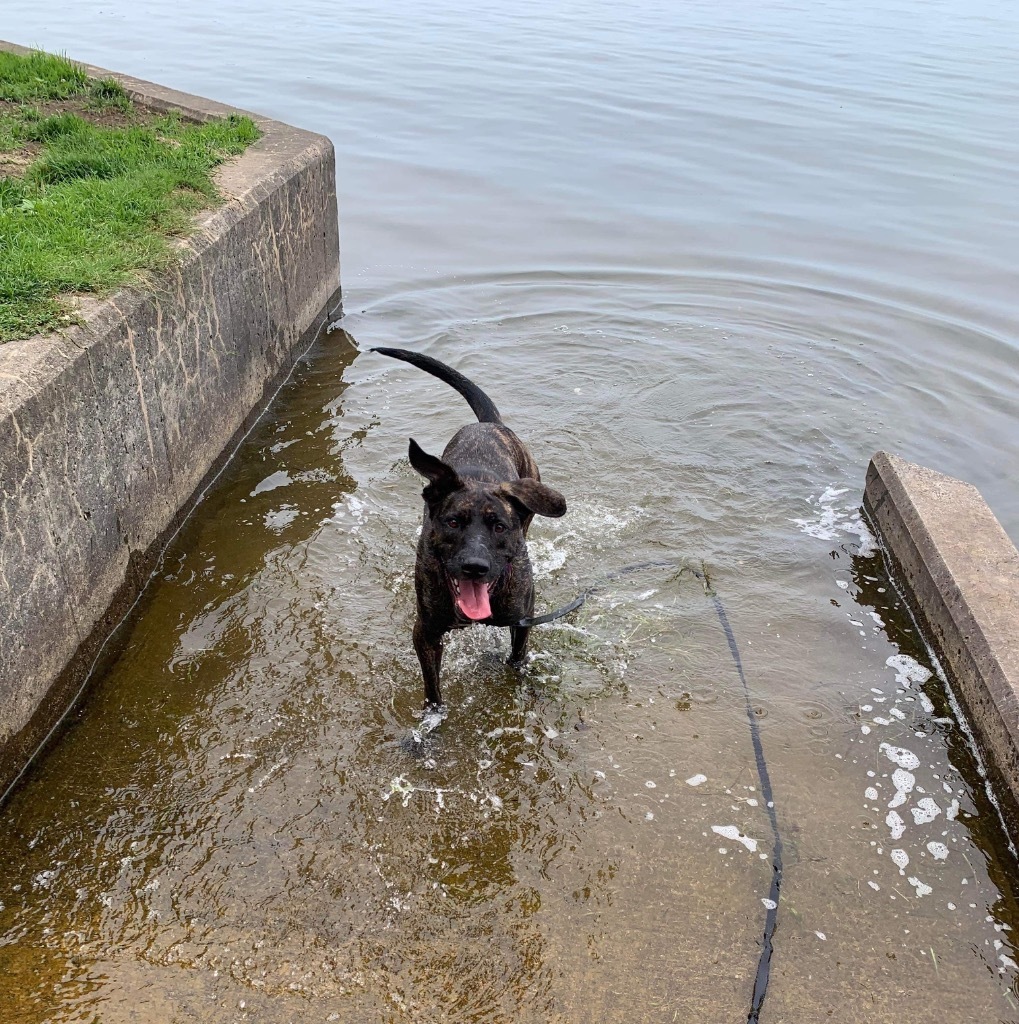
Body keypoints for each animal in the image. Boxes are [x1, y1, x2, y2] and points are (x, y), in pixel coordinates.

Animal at [372, 348, 569, 708]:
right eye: (453, 522)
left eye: (500, 527)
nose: (474, 567)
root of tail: (489, 424)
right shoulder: (426, 632)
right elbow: (432, 687)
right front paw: (431, 718)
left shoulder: (524, 618)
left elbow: (517, 656)